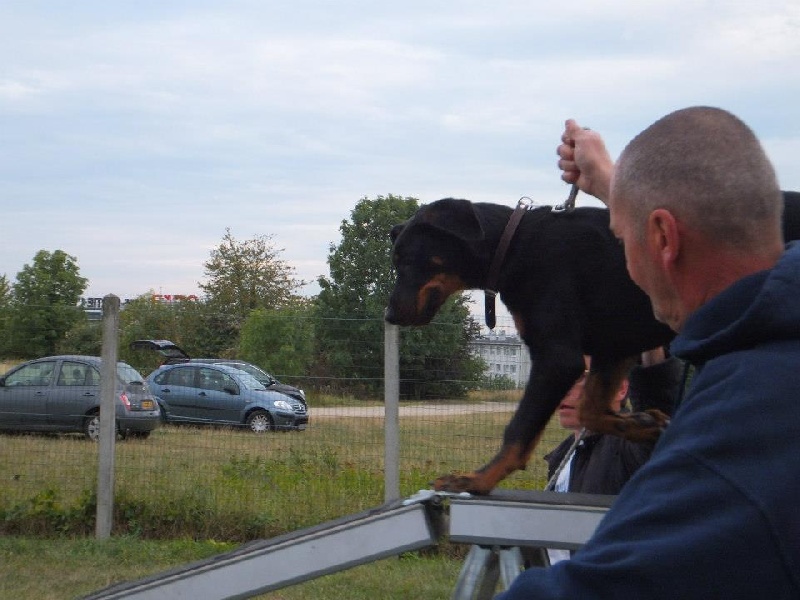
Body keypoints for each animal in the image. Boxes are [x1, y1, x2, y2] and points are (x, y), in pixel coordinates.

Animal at [384, 191, 796, 492]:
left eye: (405, 260)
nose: (388, 315)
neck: (514, 245)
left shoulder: (557, 355)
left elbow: (519, 428)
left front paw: (477, 479)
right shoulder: (614, 347)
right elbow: (591, 410)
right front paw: (645, 422)